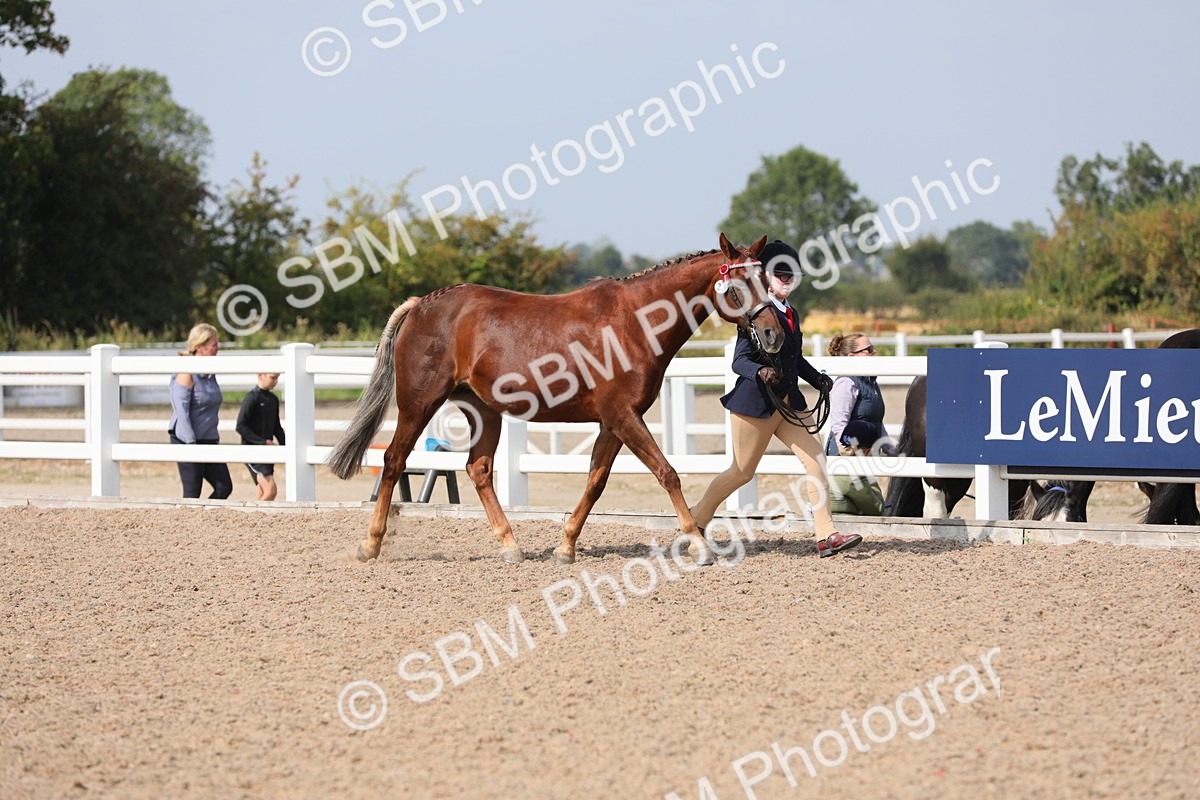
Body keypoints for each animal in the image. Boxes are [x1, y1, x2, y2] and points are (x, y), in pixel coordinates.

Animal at [328, 233, 785, 565]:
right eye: (737, 285)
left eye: (767, 281)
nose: (773, 334)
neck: (635, 322)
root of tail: (421, 304)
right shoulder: (623, 416)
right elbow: (667, 473)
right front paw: (698, 545)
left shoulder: (613, 421)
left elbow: (596, 482)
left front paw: (565, 547)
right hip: (419, 403)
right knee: (393, 461)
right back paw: (371, 545)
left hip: (483, 410)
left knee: (479, 469)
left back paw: (510, 546)